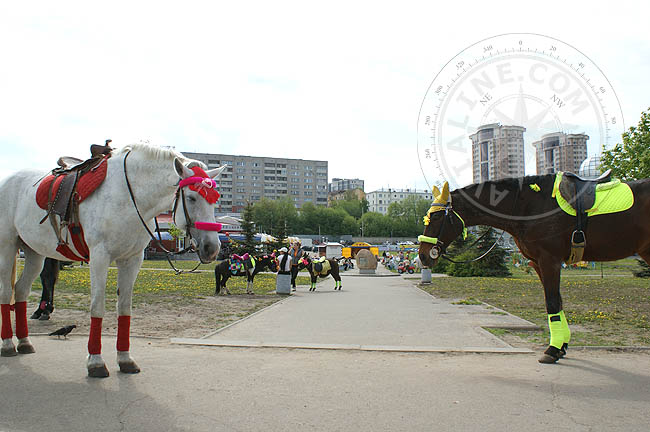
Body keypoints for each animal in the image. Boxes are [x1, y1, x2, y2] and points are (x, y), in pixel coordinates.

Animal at [0, 143, 225, 376]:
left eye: (215, 200)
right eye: (192, 198)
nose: (212, 248)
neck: (128, 196)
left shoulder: (132, 260)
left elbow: (124, 308)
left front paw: (125, 359)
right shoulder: (99, 257)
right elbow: (97, 307)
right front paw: (95, 361)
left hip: (35, 253)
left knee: (21, 290)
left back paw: (24, 342)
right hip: (7, 247)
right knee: (6, 292)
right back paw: (7, 344)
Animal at [416, 177, 648, 362]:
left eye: (435, 217)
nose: (422, 255)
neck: (529, 207)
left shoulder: (549, 260)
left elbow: (552, 302)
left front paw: (552, 350)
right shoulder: (537, 263)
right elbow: (557, 301)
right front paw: (561, 346)